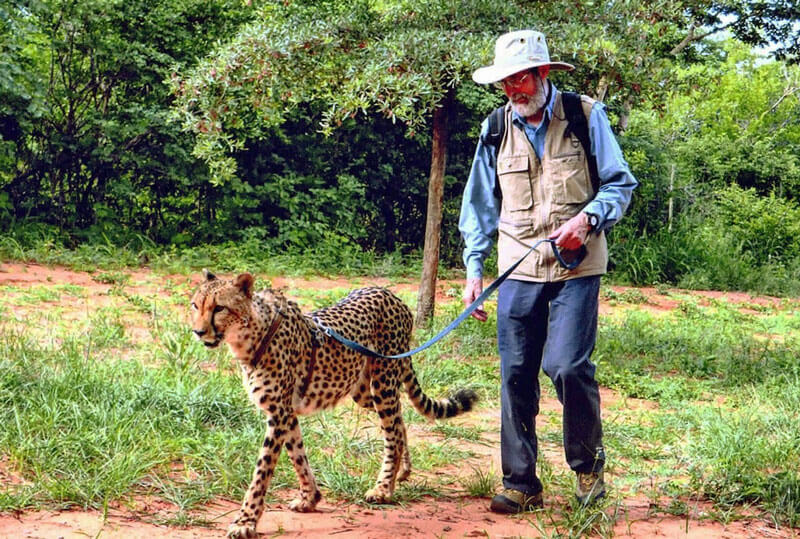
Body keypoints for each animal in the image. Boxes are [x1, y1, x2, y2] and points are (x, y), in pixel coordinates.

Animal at [190, 270, 478, 539]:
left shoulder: (279, 413)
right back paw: (402, 472)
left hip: (383, 384)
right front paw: (310, 498)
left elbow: (262, 471)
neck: (252, 334)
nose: (198, 331)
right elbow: (298, 455)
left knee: (392, 432)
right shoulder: (286, 413)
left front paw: (245, 521)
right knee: (399, 421)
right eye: (195, 305)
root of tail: (389, 293)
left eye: (219, 308)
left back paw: (384, 488)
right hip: (362, 390)